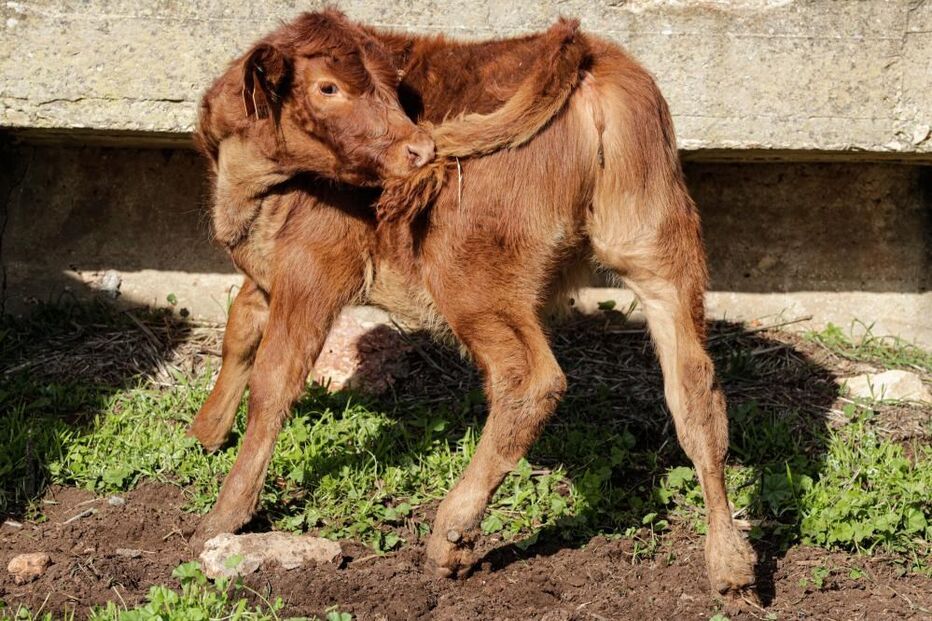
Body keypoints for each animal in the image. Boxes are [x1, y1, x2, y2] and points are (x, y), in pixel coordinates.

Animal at [189, 9, 757, 596]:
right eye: (329, 87)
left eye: (388, 85)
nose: (418, 149)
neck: (247, 186)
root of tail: (583, 53)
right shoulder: (268, 274)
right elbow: (239, 332)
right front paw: (205, 433)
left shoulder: (313, 269)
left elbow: (274, 379)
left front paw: (225, 513)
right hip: (659, 250)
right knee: (696, 390)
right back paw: (730, 562)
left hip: (470, 279)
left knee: (530, 381)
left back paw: (451, 536)